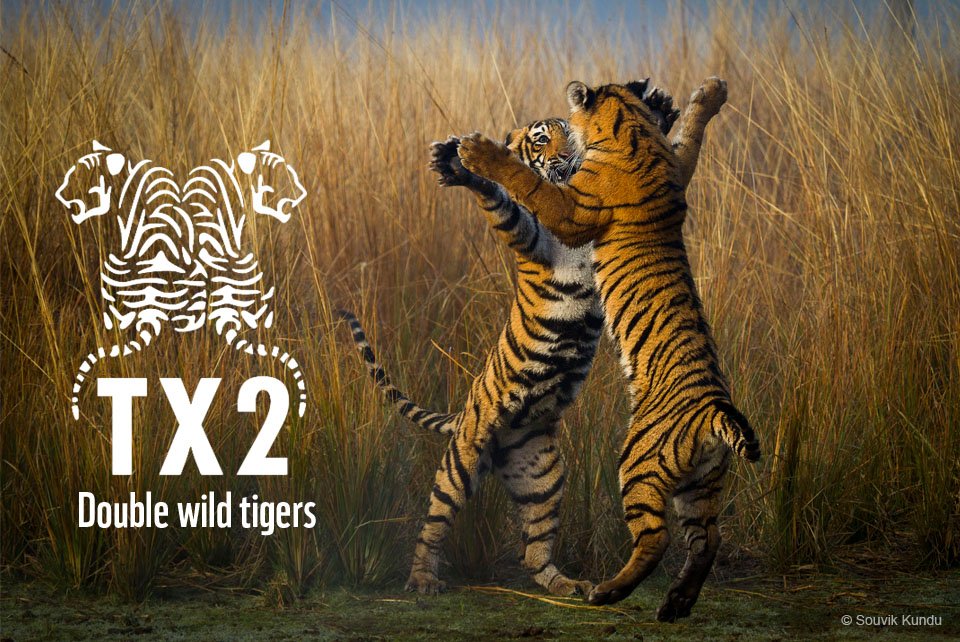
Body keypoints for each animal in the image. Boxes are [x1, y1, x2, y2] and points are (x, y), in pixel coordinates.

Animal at [338, 81, 724, 598]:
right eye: (541, 139)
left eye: (568, 133)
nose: (567, 156)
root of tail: (474, 418)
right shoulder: (533, 236)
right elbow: (503, 196)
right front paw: (462, 163)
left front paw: (660, 106)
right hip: (463, 457)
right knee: (434, 521)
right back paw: (422, 579)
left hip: (543, 472)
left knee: (534, 548)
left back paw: (567, 585)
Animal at [456, 76, 759, 621]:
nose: (560, 150)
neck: (631, 131)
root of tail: (714, 411)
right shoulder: (677, 166)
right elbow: (690, 137)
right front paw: (710, 93)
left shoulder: (574, 208)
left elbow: (529, 184)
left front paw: (480, 151)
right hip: (702, 482)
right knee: (708, 539)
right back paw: (676, 603)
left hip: (638, 461)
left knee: (656, 539)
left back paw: (607, 592)